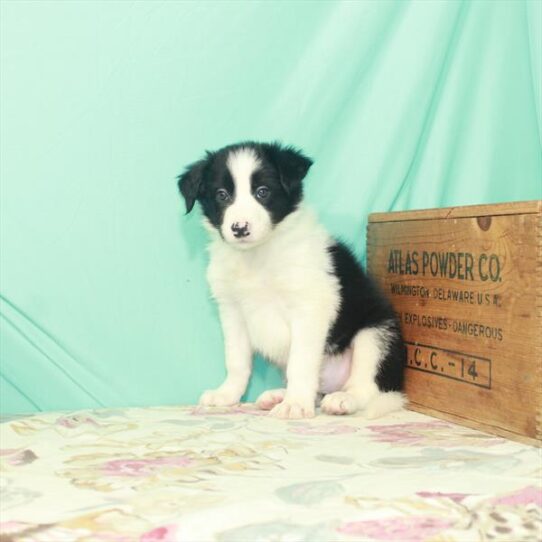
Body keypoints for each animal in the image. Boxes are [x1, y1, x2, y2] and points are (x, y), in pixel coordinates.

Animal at [176, 141, 406, 420]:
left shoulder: (310, 307)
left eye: (262, 192)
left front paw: (295, 404)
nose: (240, 228)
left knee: (367, 386)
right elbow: (236, 360)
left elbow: (301, 362)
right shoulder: (232, 311)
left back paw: (342, 399)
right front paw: (227, 394)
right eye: (222, 195)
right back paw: (279, 395)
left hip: (376, 334)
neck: (258, 256)